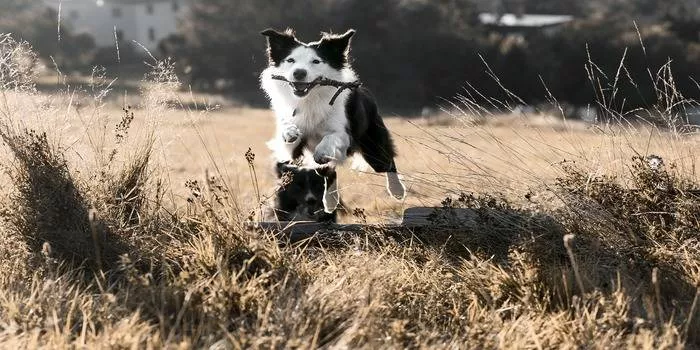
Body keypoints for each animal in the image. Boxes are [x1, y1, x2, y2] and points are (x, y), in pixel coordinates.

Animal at [260, 28, 408, 213]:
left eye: (316, 61)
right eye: (290, 60)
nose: (299, 73)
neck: (310, 99)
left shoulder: (344, 133)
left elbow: (331, 137)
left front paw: (321, 151)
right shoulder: (291, 146)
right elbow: (288, 137)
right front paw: (290, 132)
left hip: (373, 144)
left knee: (386, 162)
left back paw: (397, 191)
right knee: (329, 174)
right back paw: (330, 201)